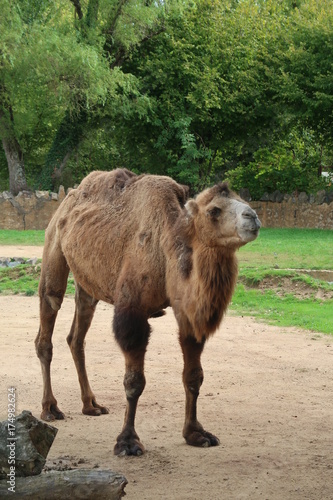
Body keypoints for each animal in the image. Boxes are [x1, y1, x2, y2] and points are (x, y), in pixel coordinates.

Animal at [35, 169, 260, 458]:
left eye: (243, 200)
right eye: (214, 210)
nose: (252, 217)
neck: (166, 251)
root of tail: (64, 203)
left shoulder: (186, 313)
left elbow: (193, 375)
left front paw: (196, 433)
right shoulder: (132, 310)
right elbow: (134, 381)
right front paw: (128, 442)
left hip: (87, 281)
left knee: (76, 336)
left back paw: (91, 404)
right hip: (53, 249)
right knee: (48, 314)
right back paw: (50, 408)